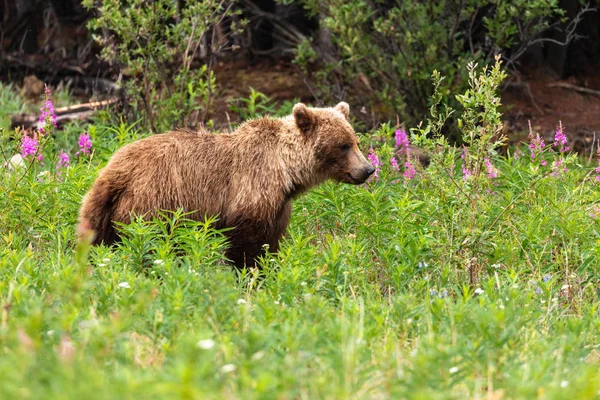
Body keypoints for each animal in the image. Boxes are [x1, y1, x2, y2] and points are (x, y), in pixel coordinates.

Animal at [77, 101, 372, 268]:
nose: (368, 169)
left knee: (98, 240)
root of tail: (113, 172)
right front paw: (250, 273)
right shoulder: (252, 186)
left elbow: (271, 241)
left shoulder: (279, 204)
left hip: (102, 211)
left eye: (355, 140)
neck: (287, 171)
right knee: (152, 242)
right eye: (343, 145)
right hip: (154, 203)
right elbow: (247, 242)